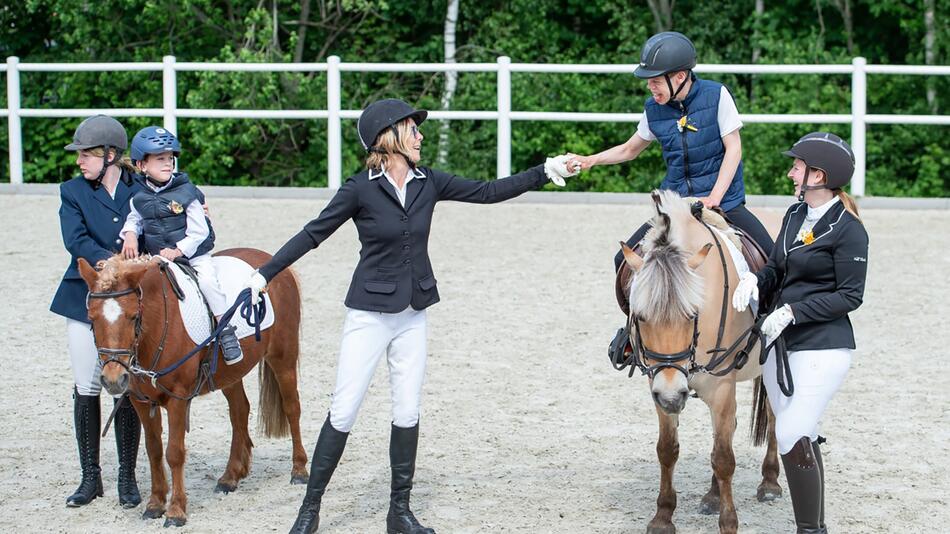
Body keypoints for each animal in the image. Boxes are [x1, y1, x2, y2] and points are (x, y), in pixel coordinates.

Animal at [79, 250, 308, 528]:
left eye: (133, 316)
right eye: (91, 318)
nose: (113, 379)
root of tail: (269, 258)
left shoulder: (177, 398)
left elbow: (174, 453)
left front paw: (176, 511)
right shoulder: (141, 402)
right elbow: (154, 450)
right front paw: (155, 504)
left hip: (282, 358)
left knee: (292, 408)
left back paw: (299, 469)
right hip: (229, 374)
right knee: (239, 412)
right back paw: (231, 476)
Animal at [620, 193, 784, 534]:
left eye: (692, 313)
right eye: (640, 316)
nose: (673, 394)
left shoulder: (720, 387)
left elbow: (724, 458)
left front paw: (729, 523)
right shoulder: (659, 385)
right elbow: (667, 450)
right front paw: (663, 517)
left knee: (772, 419)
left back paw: (770, 483)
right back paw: (712, 496)